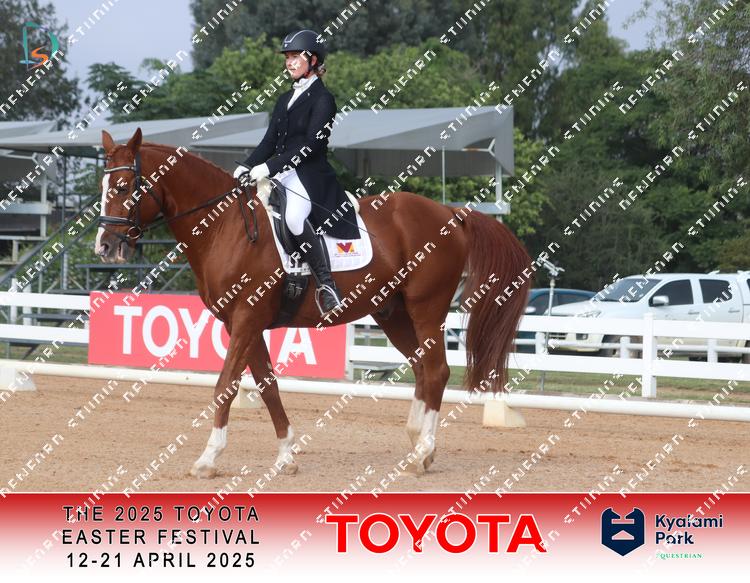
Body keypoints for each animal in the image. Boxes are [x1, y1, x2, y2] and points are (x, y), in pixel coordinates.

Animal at [95, 127, 532, 478]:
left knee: (437, 370)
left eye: (124, 188)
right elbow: (267, 386)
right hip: (392, 313)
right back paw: (419, 447)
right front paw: (286, 456)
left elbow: (226, 386)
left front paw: (207, 460)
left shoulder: (247, 318)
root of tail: (450, 213)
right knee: (424, 369)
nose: (105, 246)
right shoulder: (244, 323)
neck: (224, 226)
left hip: (426, 309)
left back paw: (421, 453)